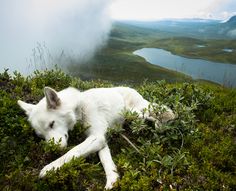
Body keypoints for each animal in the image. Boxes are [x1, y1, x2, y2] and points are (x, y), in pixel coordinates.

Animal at [17, 87, 174, 190]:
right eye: (41, 136)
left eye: (52, 124)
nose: (53, 149)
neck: (79, 108)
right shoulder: (101, 139)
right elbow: (105, 159)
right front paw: (113, 179)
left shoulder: (96, 137)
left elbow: (72, 152)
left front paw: (50, 167)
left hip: (133, 112)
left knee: (152, 113)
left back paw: (162, 122)